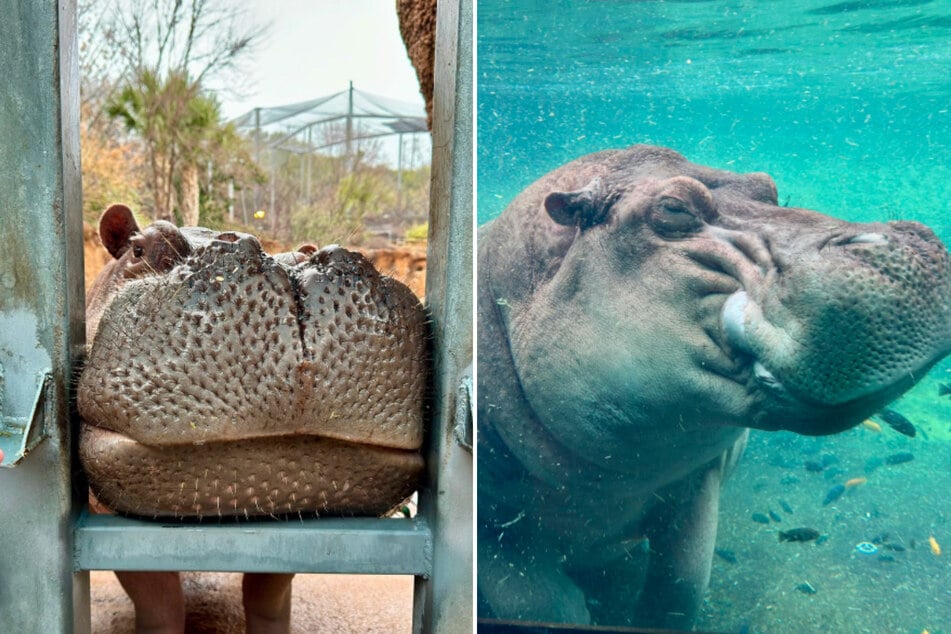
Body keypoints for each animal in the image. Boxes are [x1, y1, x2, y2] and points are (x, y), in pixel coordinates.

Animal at [480, 144, 951, 628]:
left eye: (769, 185)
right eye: (673, 208)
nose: (905, 242)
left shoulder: (697, 483)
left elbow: (680, 588)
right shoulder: (492, 530)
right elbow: (540, 603)